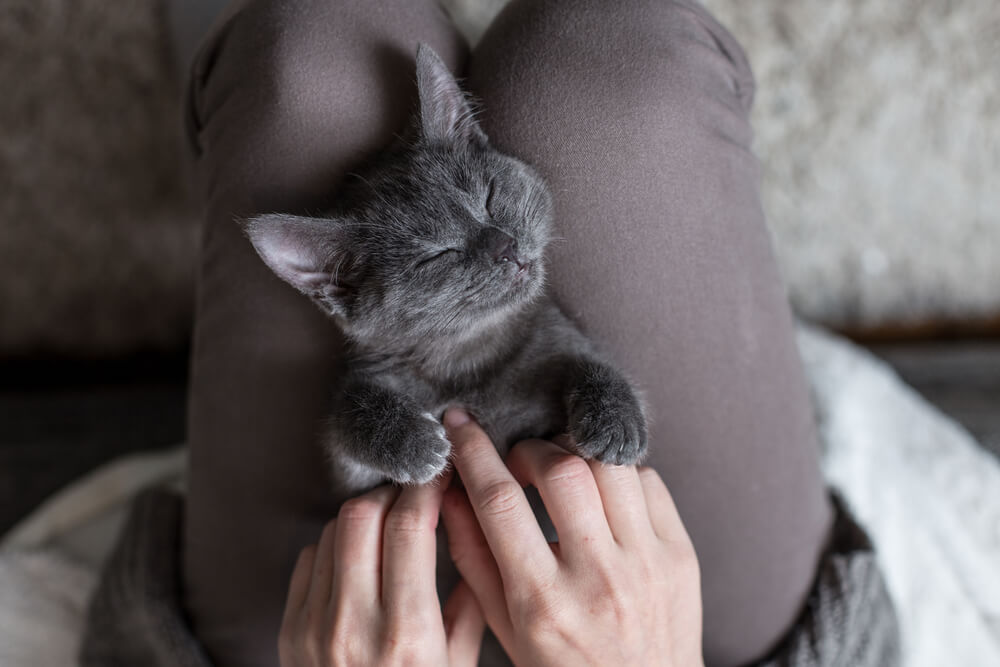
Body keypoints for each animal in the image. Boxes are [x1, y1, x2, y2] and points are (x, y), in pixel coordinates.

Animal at [246, 44, 644, 488]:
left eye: (490, 197)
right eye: (438, 254)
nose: (505, 247)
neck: (471, 358)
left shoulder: (557, 334)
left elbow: (594, 361)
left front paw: (615, 419)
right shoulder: (353, 472)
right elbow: (345, 411)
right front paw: (411, 441)